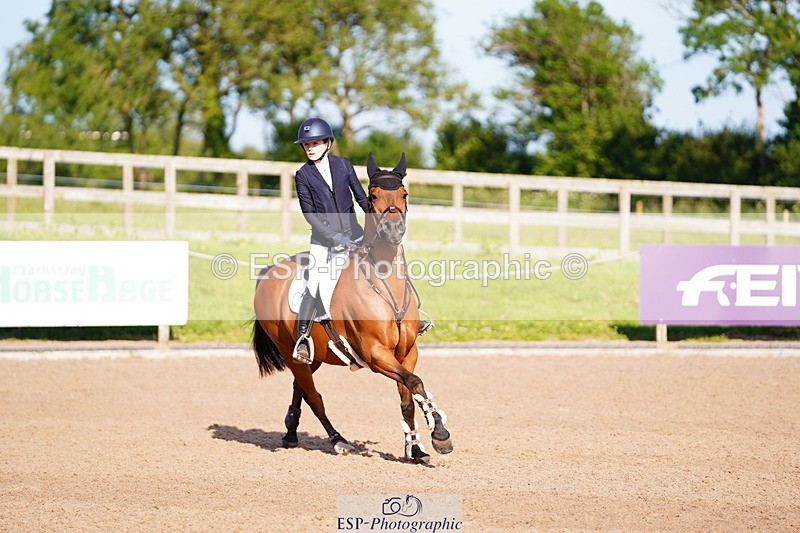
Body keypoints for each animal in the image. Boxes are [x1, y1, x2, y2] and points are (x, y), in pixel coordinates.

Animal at [251, 152, 453, 464]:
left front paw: (416, 448)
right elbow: (416, 383)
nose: (393, 230)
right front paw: (440, 435)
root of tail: (270, 271)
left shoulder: (406, 353)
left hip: (312, 356)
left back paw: (291, 433)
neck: (384, 280)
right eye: (373, 195)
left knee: (301, 388)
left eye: (404, 194)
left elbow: (408, 397)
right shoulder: (376, 354)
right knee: (314, 397)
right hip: (288, 350)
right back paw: (338, 441)